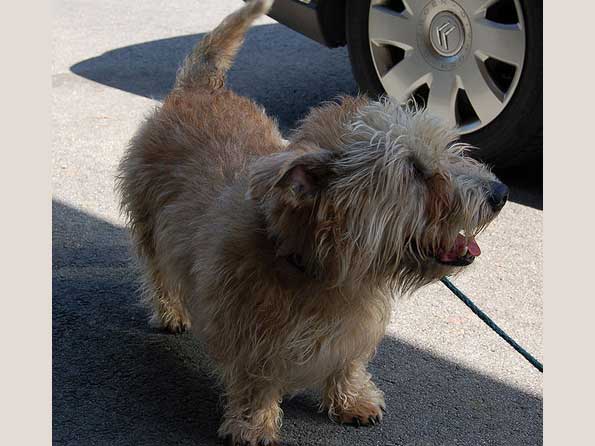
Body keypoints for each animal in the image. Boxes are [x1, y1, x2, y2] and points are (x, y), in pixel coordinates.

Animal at [115, 1, 508, 444]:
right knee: (158, 272)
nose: (500, 193)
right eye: (415, 170)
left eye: (446, 151)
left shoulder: (352, 332)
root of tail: (201, 88)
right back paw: (170, 312)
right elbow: (256, 381)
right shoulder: (249, 337)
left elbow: (347, 363)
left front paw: (352, 399)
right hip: (151, 226)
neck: (321, 272)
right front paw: (254, 424)